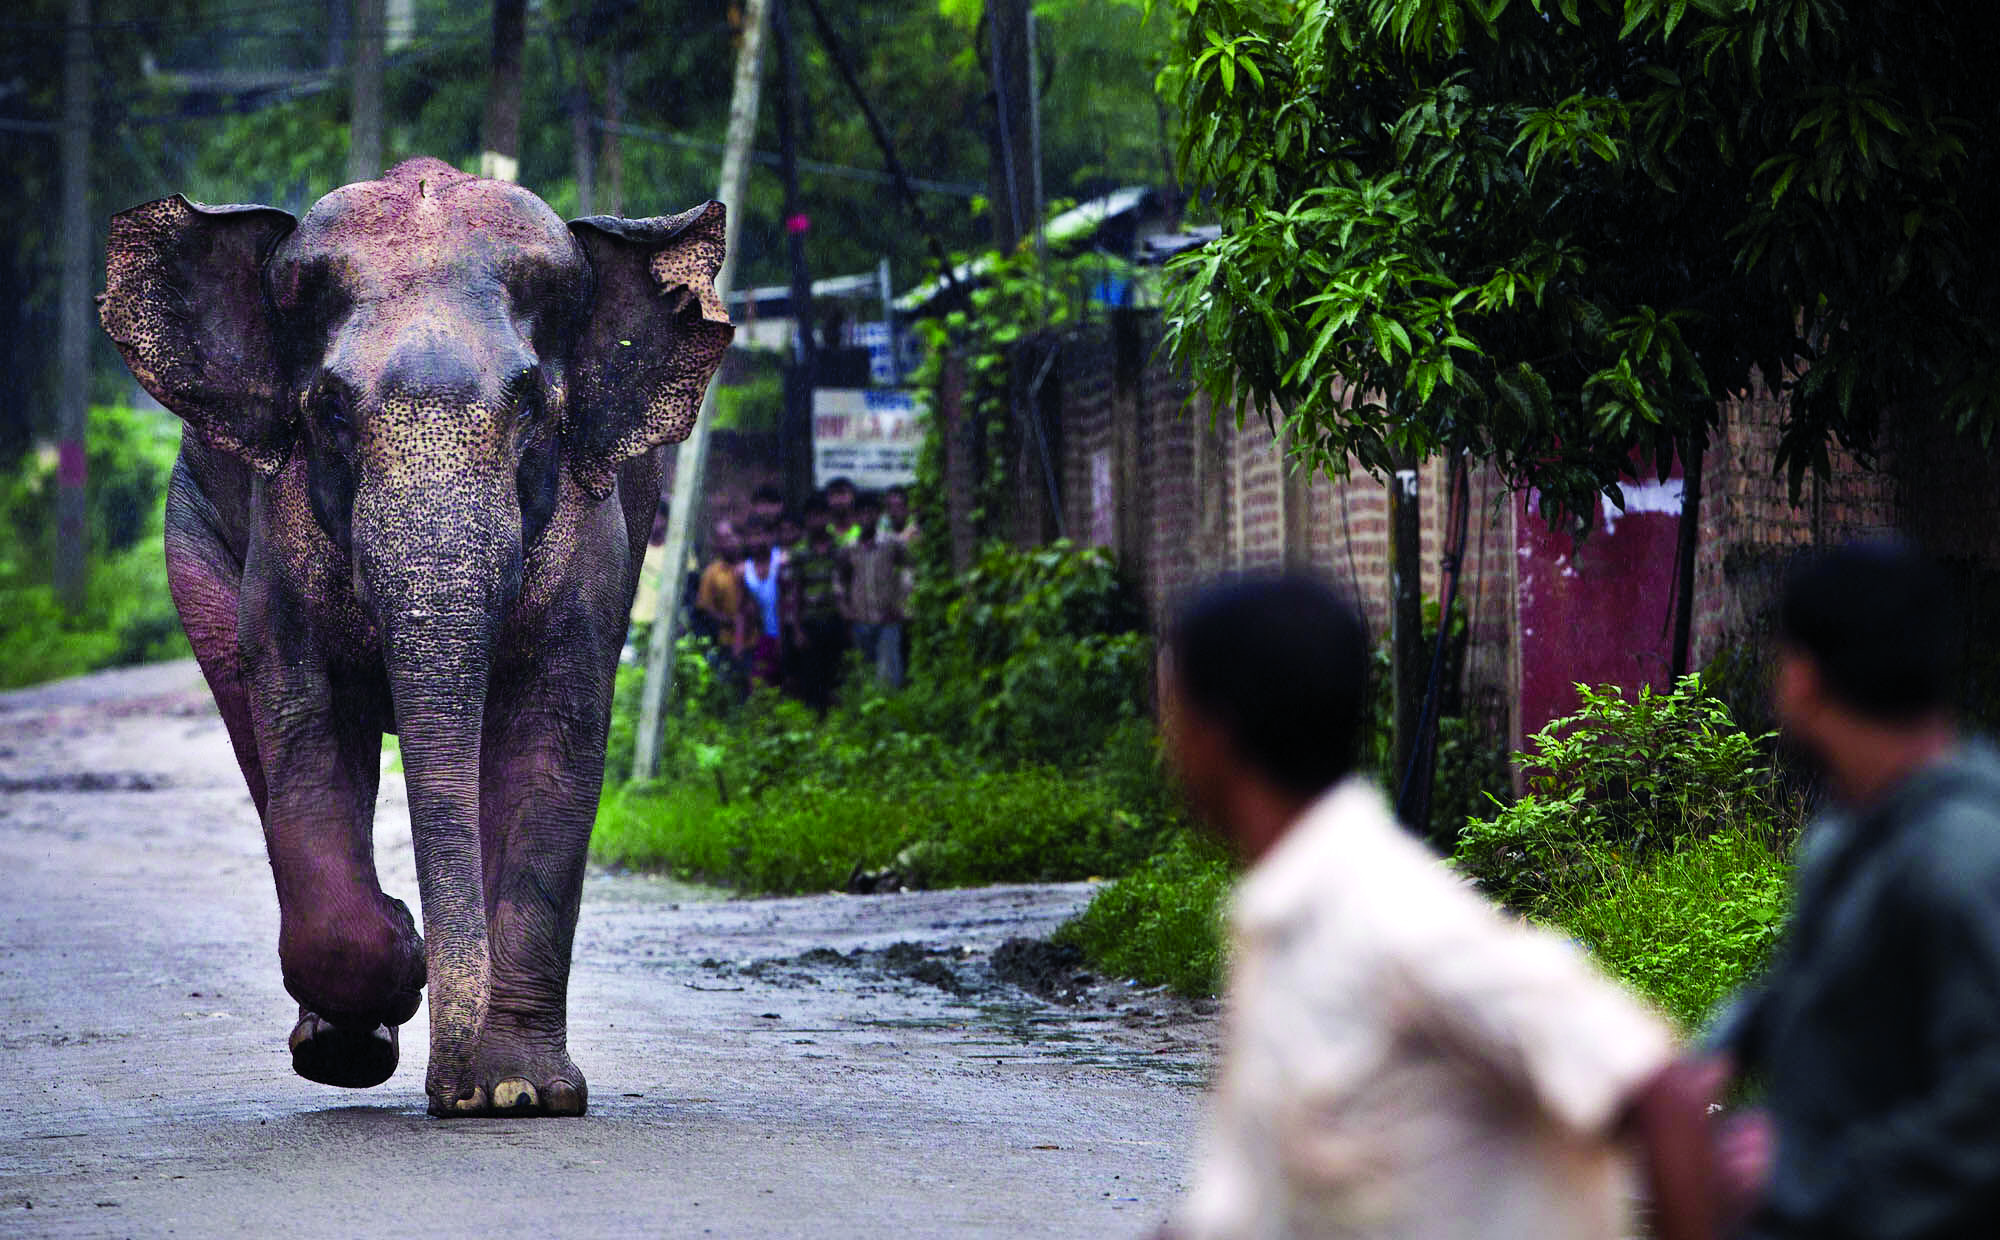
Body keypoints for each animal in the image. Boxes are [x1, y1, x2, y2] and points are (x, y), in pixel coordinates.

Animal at [95, 155, 736, 1112]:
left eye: (532, 411)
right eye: (328, 411)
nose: (453, 1092)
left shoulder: (591, 532)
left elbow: (553, 739)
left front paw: (522, 1094)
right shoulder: (282, 524)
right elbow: (306, 727)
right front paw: (403, 961)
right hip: (197, 538)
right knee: (256, 733)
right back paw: (344, 1042)